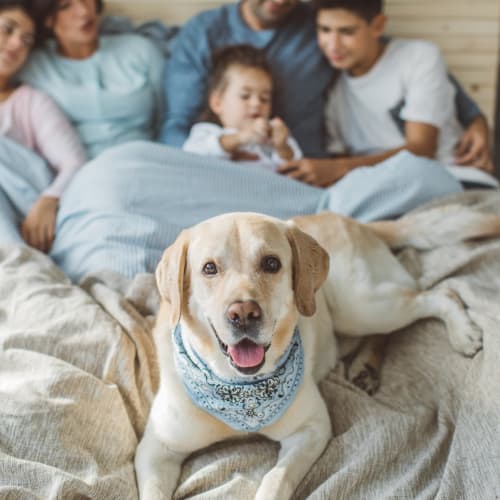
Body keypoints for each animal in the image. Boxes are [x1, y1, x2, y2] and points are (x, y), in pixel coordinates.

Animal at [136, 205, 500, 498]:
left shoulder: (311, 429)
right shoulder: (155, 451)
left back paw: (463, 331)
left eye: (271, 263)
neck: (239, 391)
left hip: (361, 304)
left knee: (438, 293)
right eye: (209, 268)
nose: (244, 314)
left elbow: (275, 479)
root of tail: (351, 219)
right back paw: (365, 367)